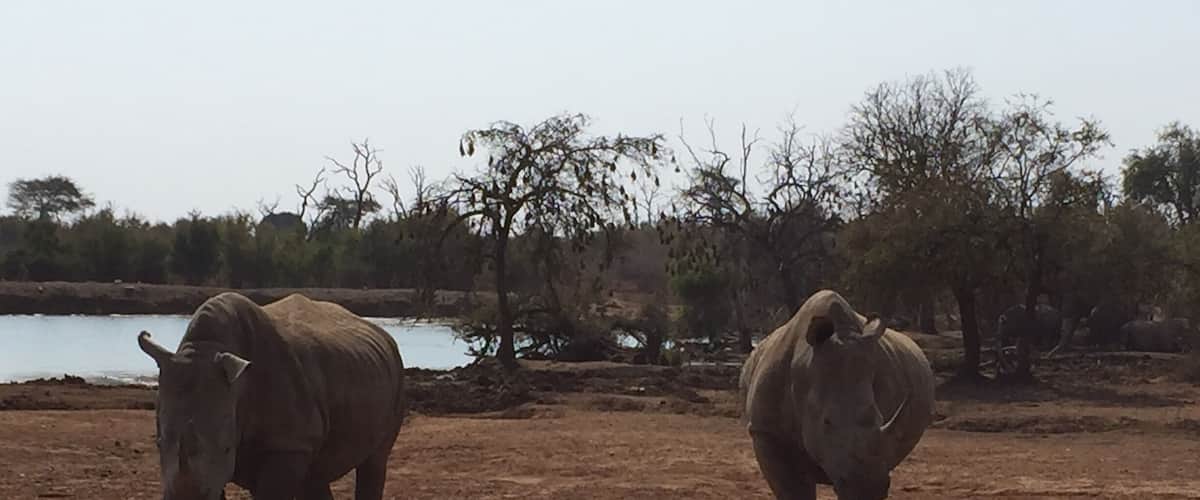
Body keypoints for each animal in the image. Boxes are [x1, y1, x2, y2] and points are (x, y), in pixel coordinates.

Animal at [137, 292, 406, 500]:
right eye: (158, 443)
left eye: (227, 448)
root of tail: (383, 334)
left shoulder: (287, 444)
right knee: (316, 472)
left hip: (396, 372)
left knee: (374, 462)